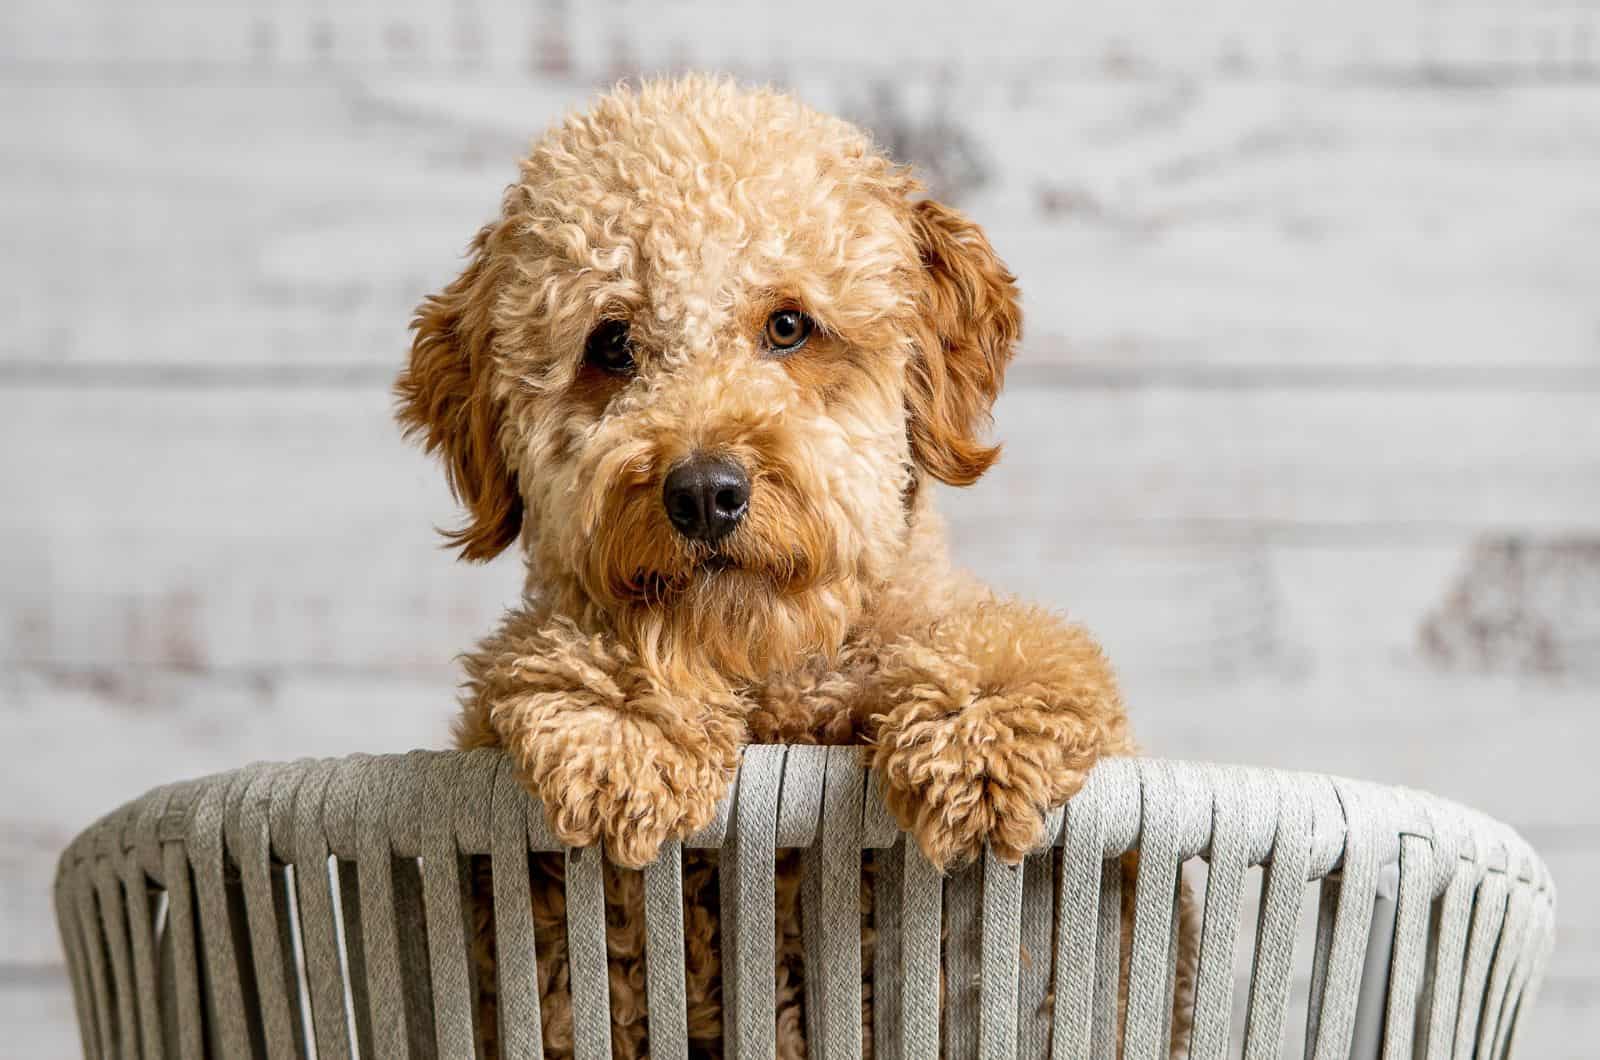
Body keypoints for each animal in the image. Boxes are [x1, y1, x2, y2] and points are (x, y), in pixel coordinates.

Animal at [395, 76, 1158, 1060]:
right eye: (611, 345)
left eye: (789, 326)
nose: (704, 492)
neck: (773, 678)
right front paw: (624, 723)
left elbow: (1031, 653)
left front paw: (978, 733)